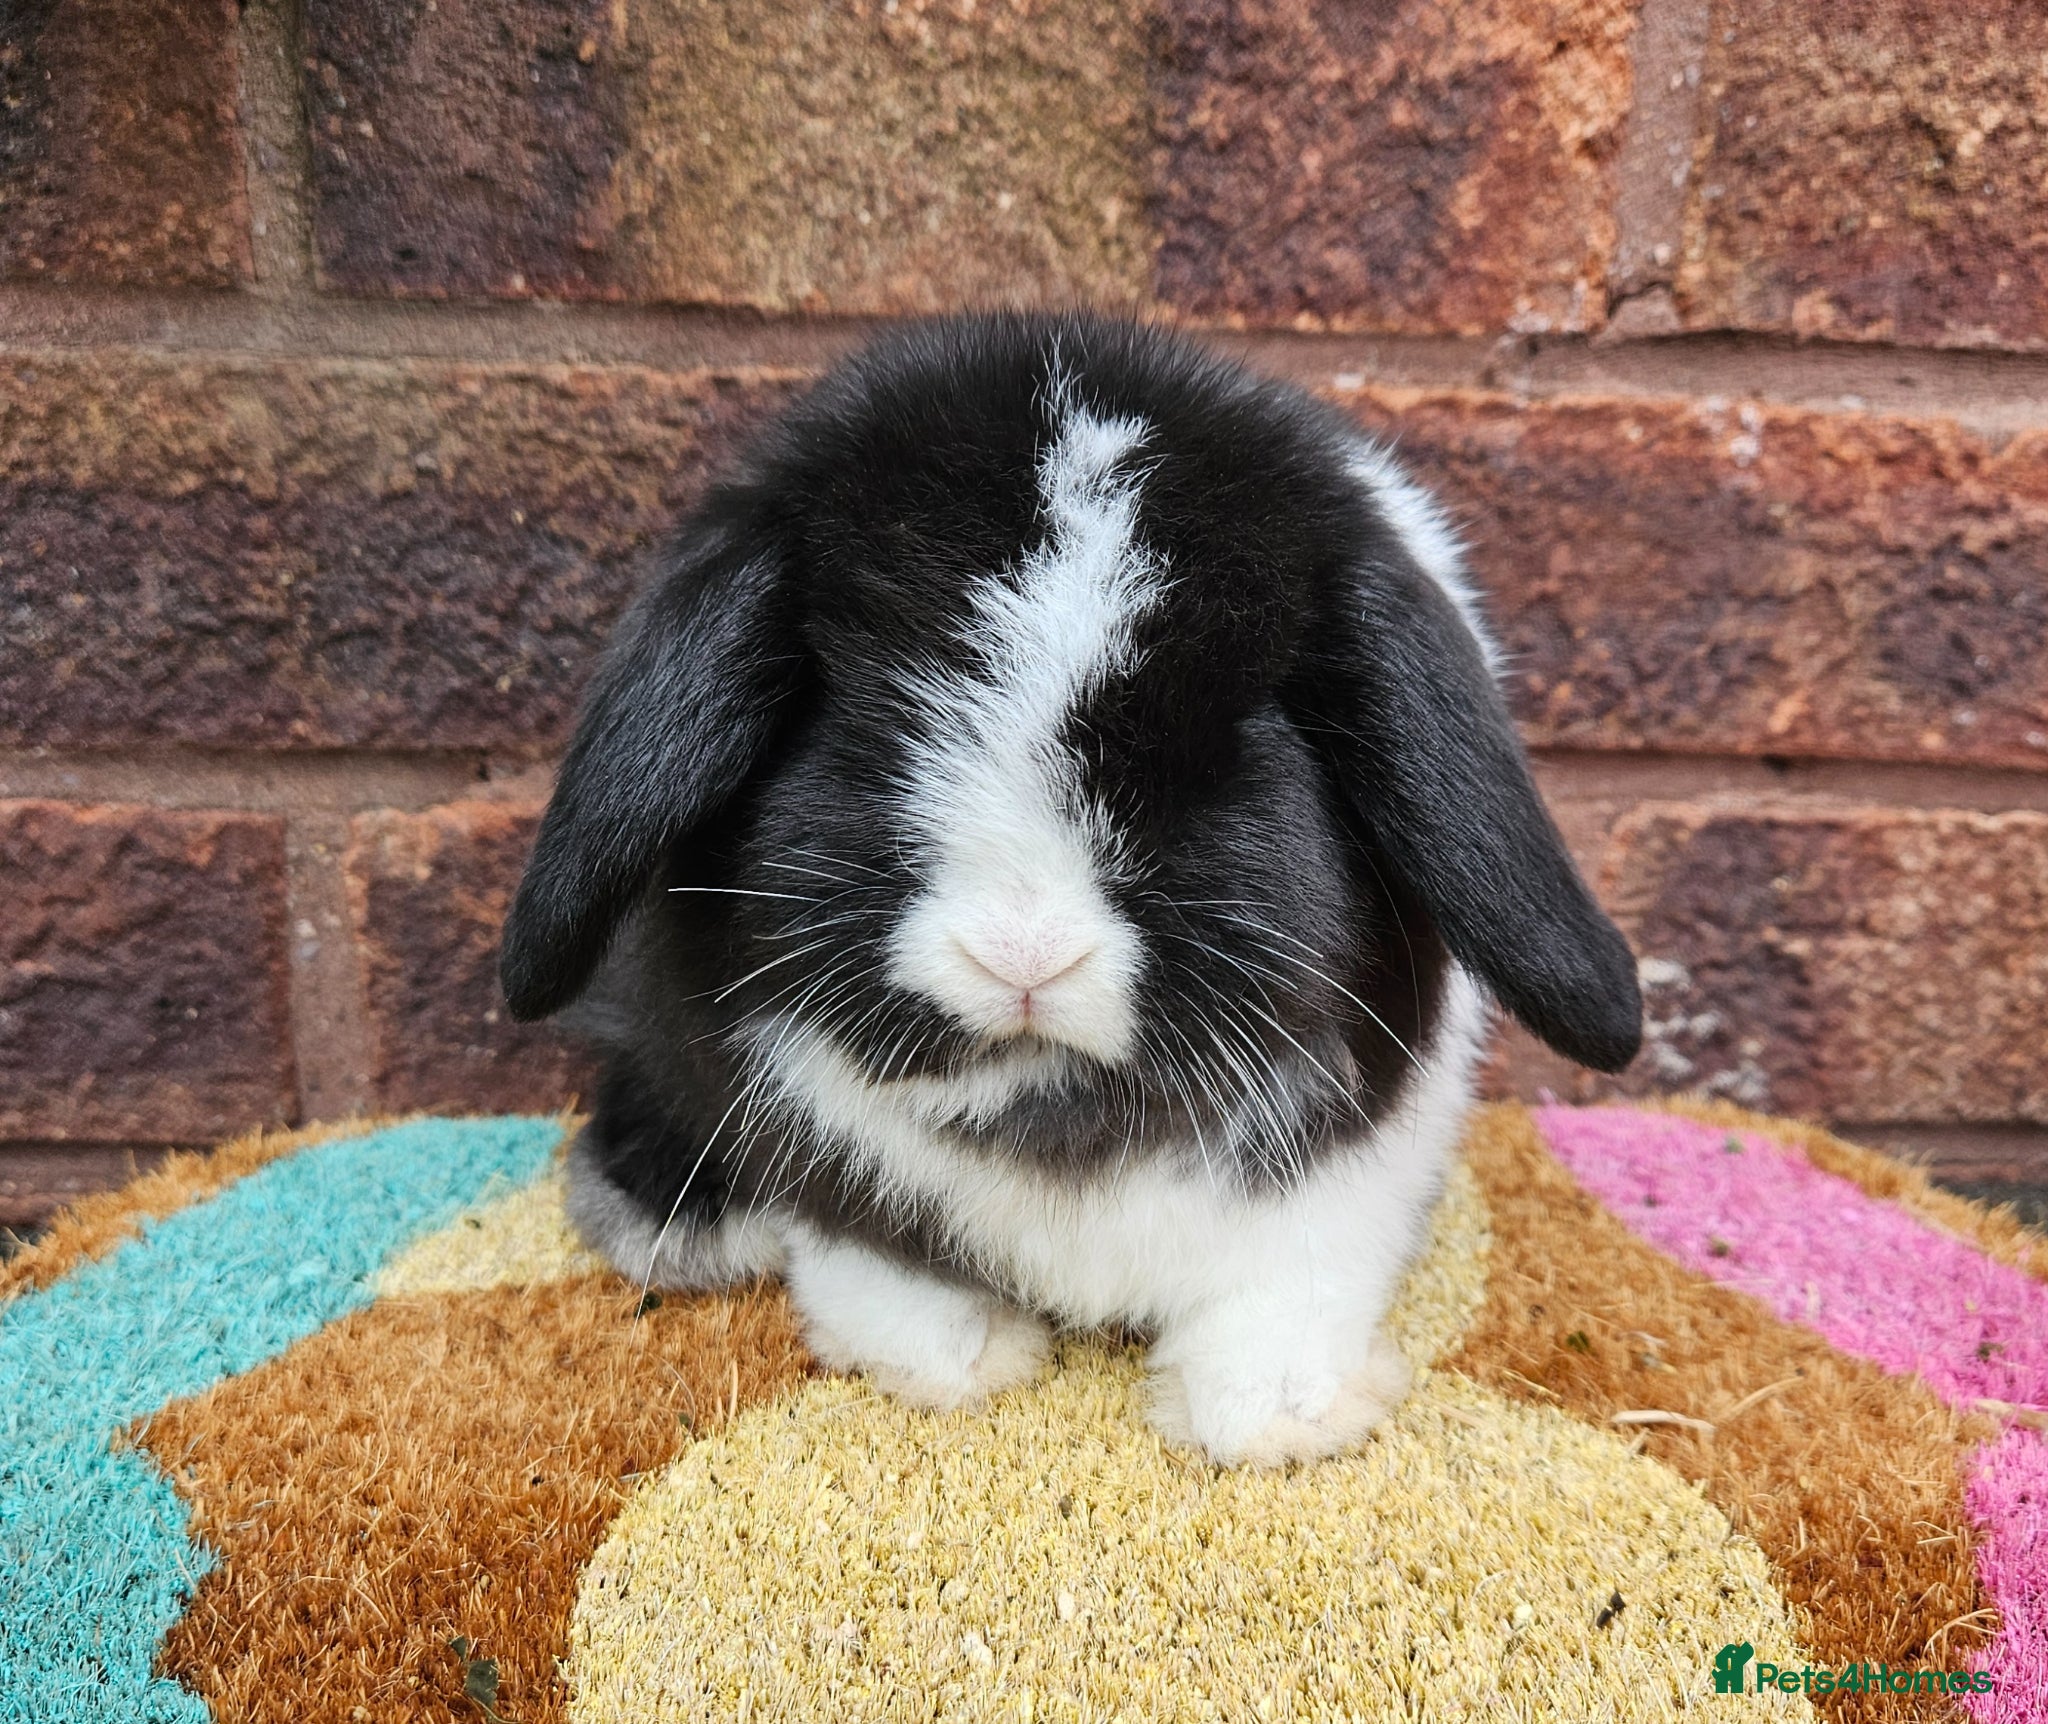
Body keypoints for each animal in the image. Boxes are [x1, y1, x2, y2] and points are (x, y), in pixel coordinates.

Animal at [499, 312, 1641, 1467]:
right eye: (865, 715)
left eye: (1228, 742)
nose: (1023, 955)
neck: (1052, 1108)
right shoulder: (821, 1161)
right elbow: (876, 1263)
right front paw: (954, 1358)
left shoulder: (1345, 1183)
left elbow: (1282, 1292)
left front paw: (1276, 1419)